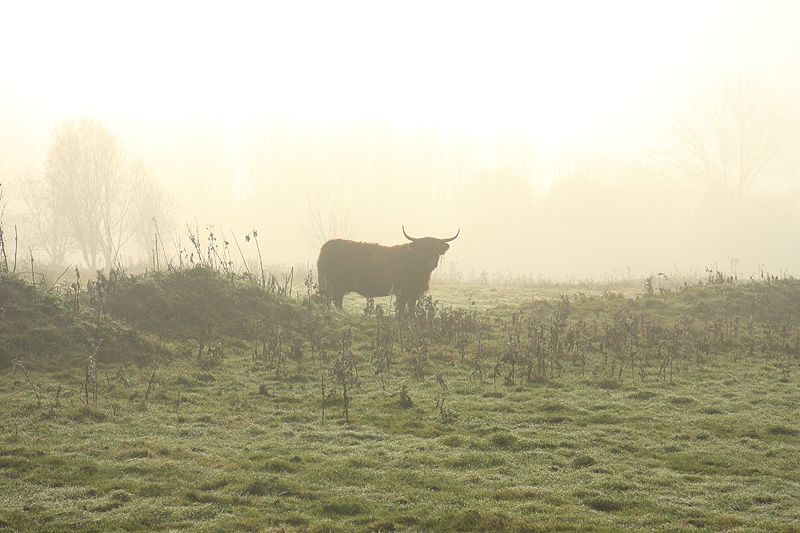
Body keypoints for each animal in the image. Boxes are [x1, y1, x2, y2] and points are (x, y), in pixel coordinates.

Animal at [318, 225, 460, 312]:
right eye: (423, 249)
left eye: (435, 249)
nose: (430, 261)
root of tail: (327, 245)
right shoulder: (404, 291)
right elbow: (402, 308)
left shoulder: (413, 293)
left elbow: (411, 308)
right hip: (333, 284)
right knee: (331, 300)